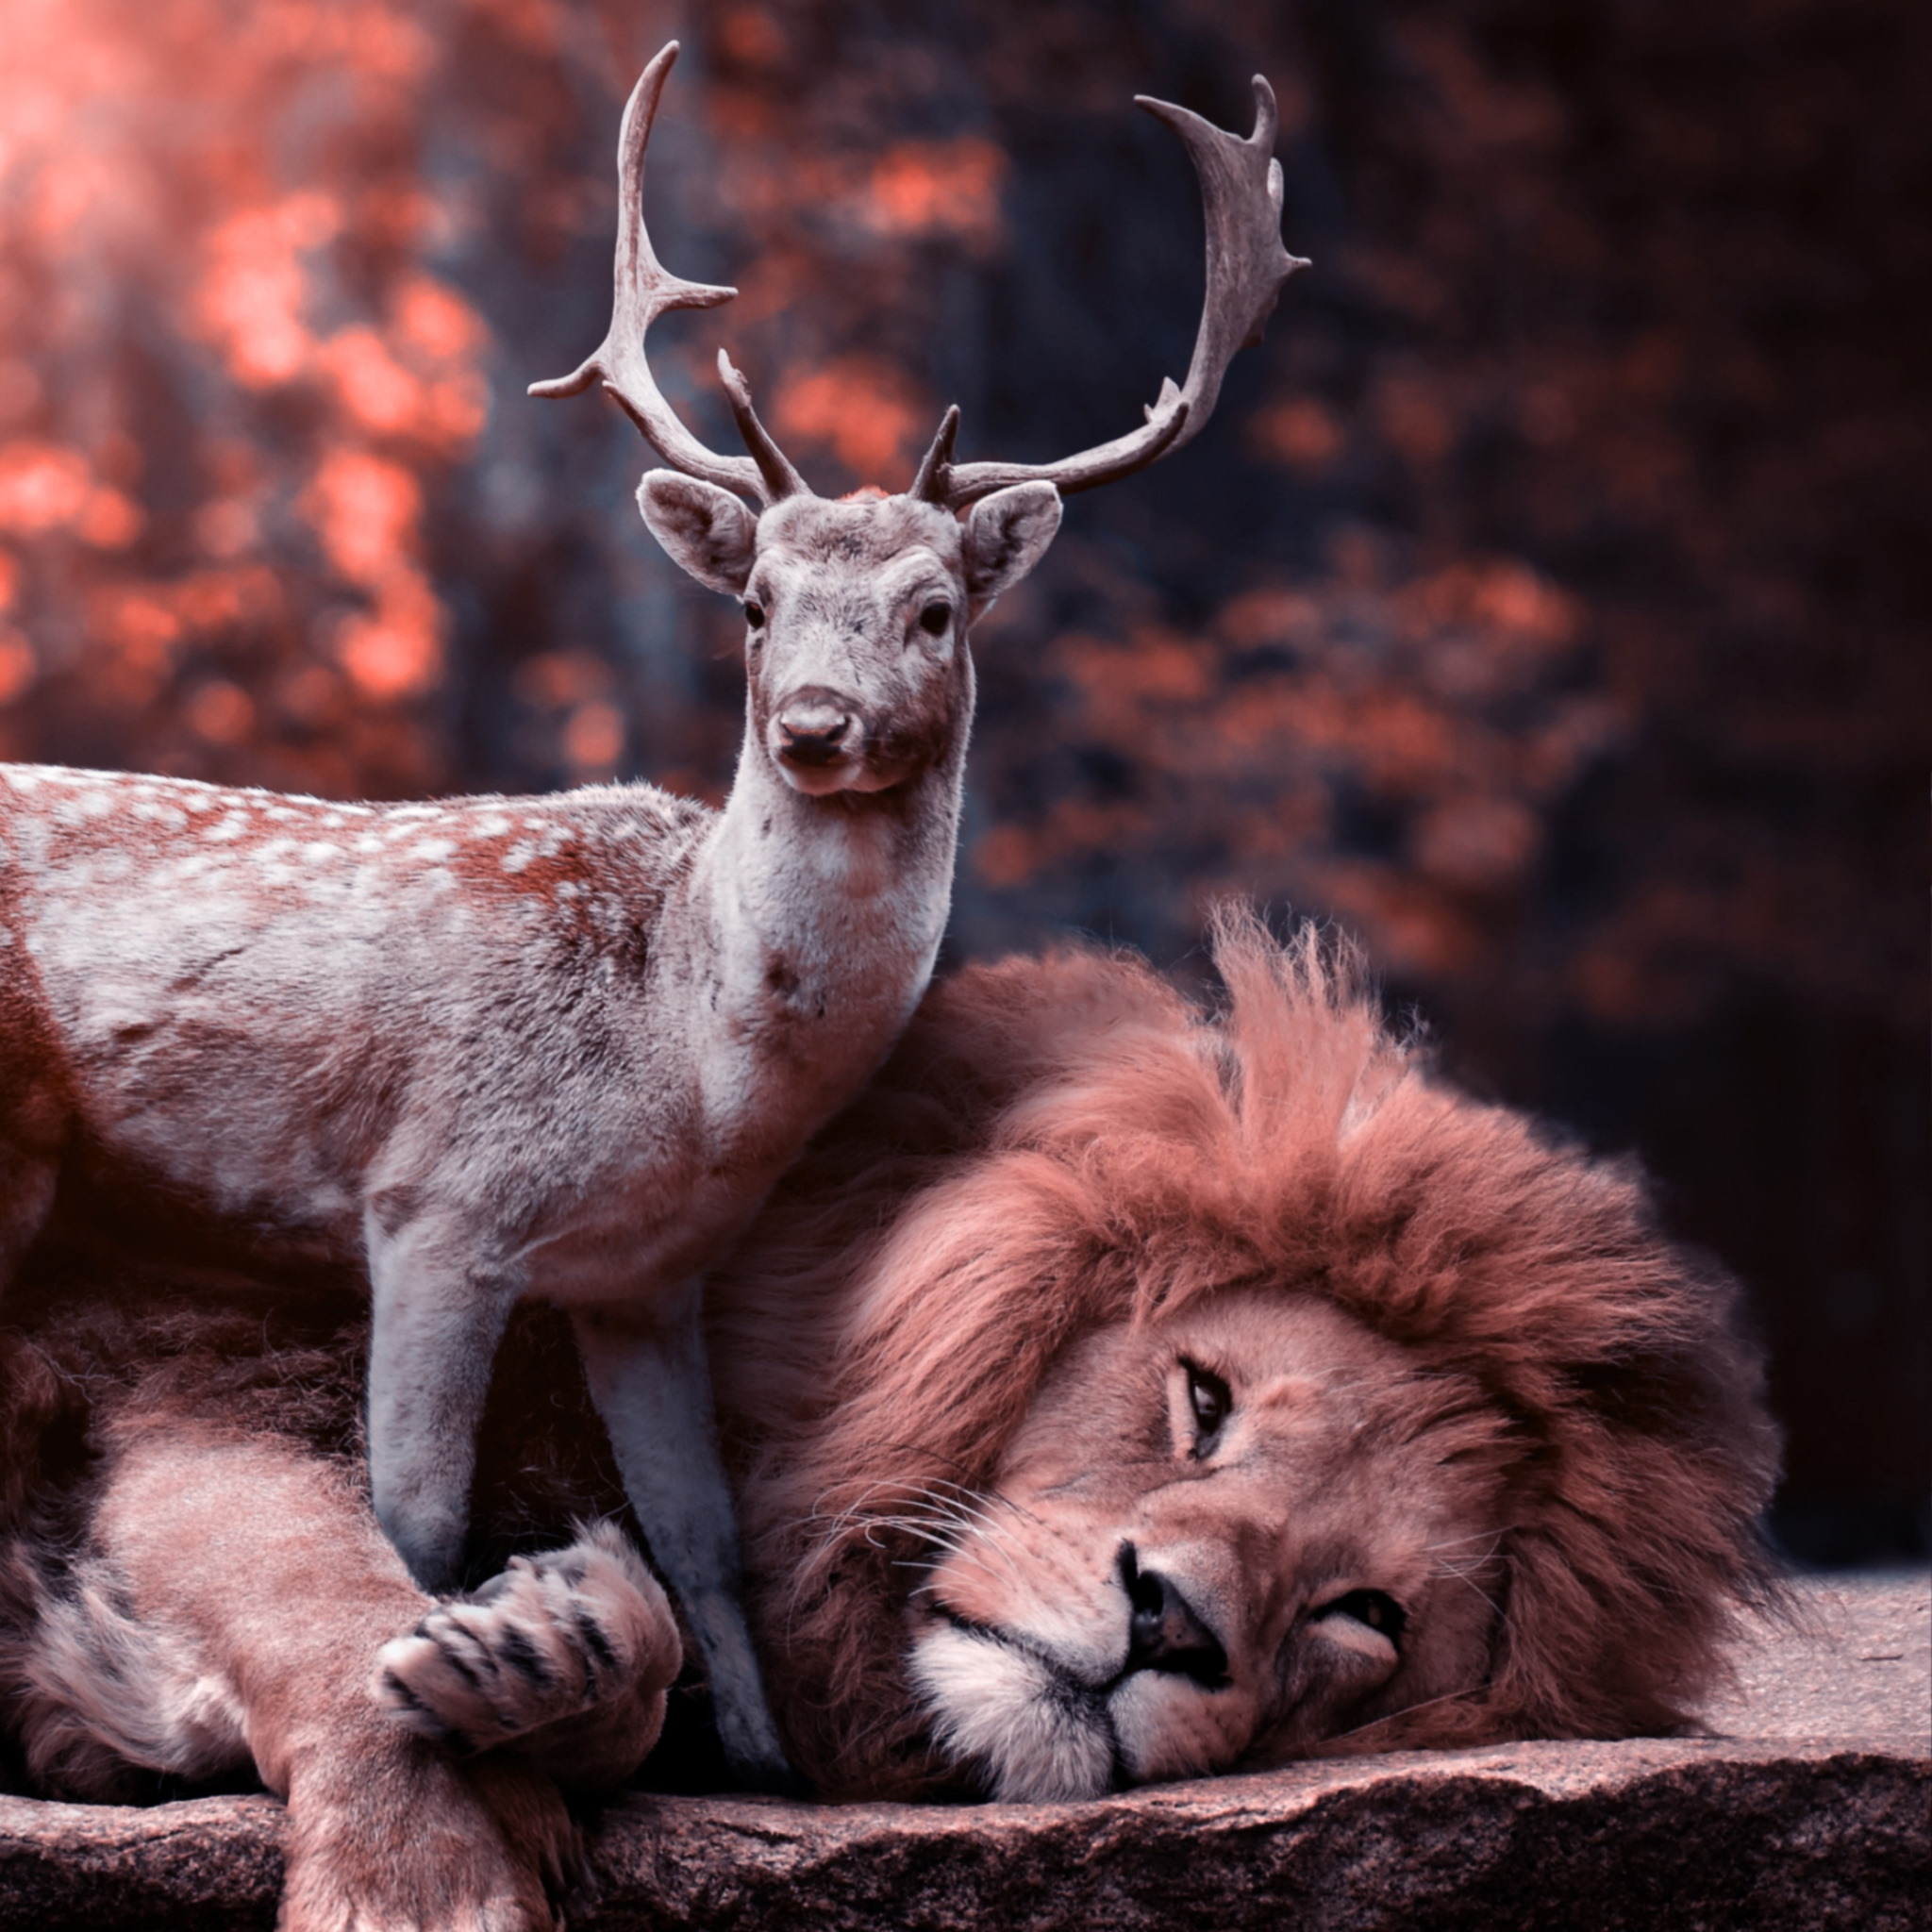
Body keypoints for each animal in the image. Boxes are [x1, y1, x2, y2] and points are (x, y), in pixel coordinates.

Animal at [0, 41, 1305, 1792]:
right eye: (754, 603)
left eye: (934, 608)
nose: (813, 724)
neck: (690, 1063)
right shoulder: (434, 1196)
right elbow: (418, 1515)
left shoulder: (648, 1272)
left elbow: (704, 1530)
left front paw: (759, 1758)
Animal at [0, 912, 1779, 1921]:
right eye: (1202, 1402)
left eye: (1366, 1618)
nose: (1174, 1625)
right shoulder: (211, 1368)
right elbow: (322, 1608)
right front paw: (422, 1884)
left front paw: (561, 1641)